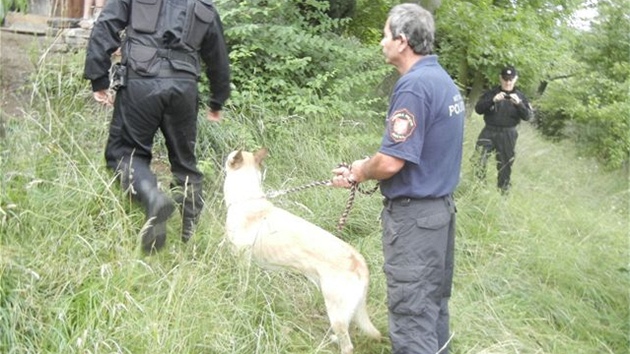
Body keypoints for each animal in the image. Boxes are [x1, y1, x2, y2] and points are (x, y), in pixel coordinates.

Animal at [223, 149, 380, 354]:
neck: (246, 198)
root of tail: (359, 260)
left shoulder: (243, 259)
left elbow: (241, 287)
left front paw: (238, 301)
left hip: (336, 311)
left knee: (348, 345)